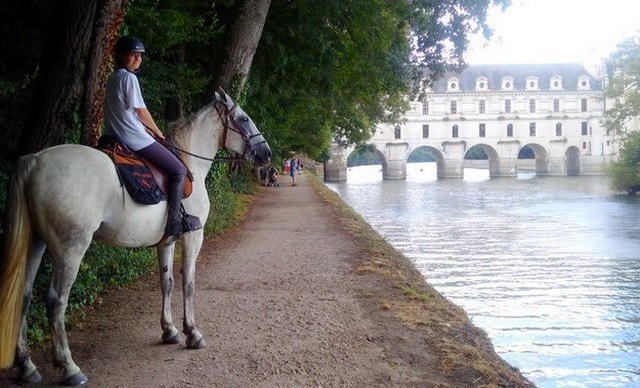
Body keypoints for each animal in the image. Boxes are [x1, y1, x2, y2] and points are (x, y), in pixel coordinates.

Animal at [0, 88, 272, 384]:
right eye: (244, 119)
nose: (266, 153)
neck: (191, 163)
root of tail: (35, 160)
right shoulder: (193, 236)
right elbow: (188, 283)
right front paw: (192, 333)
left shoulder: (167, 242)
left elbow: (167, 283)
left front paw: (170, 331)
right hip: (70, 248)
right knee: (55, 301)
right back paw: (71, 369)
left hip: (36, 241)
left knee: (24, 295)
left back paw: (27, 367)